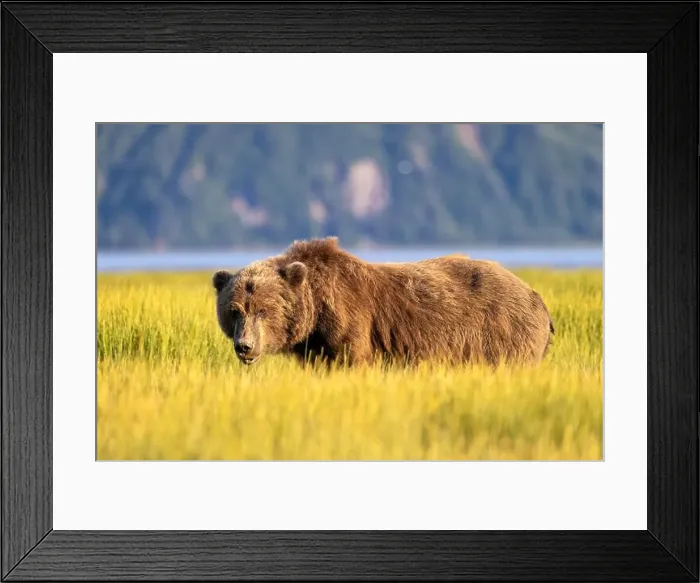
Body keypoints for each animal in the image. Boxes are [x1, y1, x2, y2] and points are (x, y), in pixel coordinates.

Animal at [212, 236, 554, 368]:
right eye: (234, 311)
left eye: (263, 310)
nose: (245, 346)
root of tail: (536, 296)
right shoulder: (315, 344)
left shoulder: (351, 320)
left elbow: (353, 359)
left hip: (503, 332)